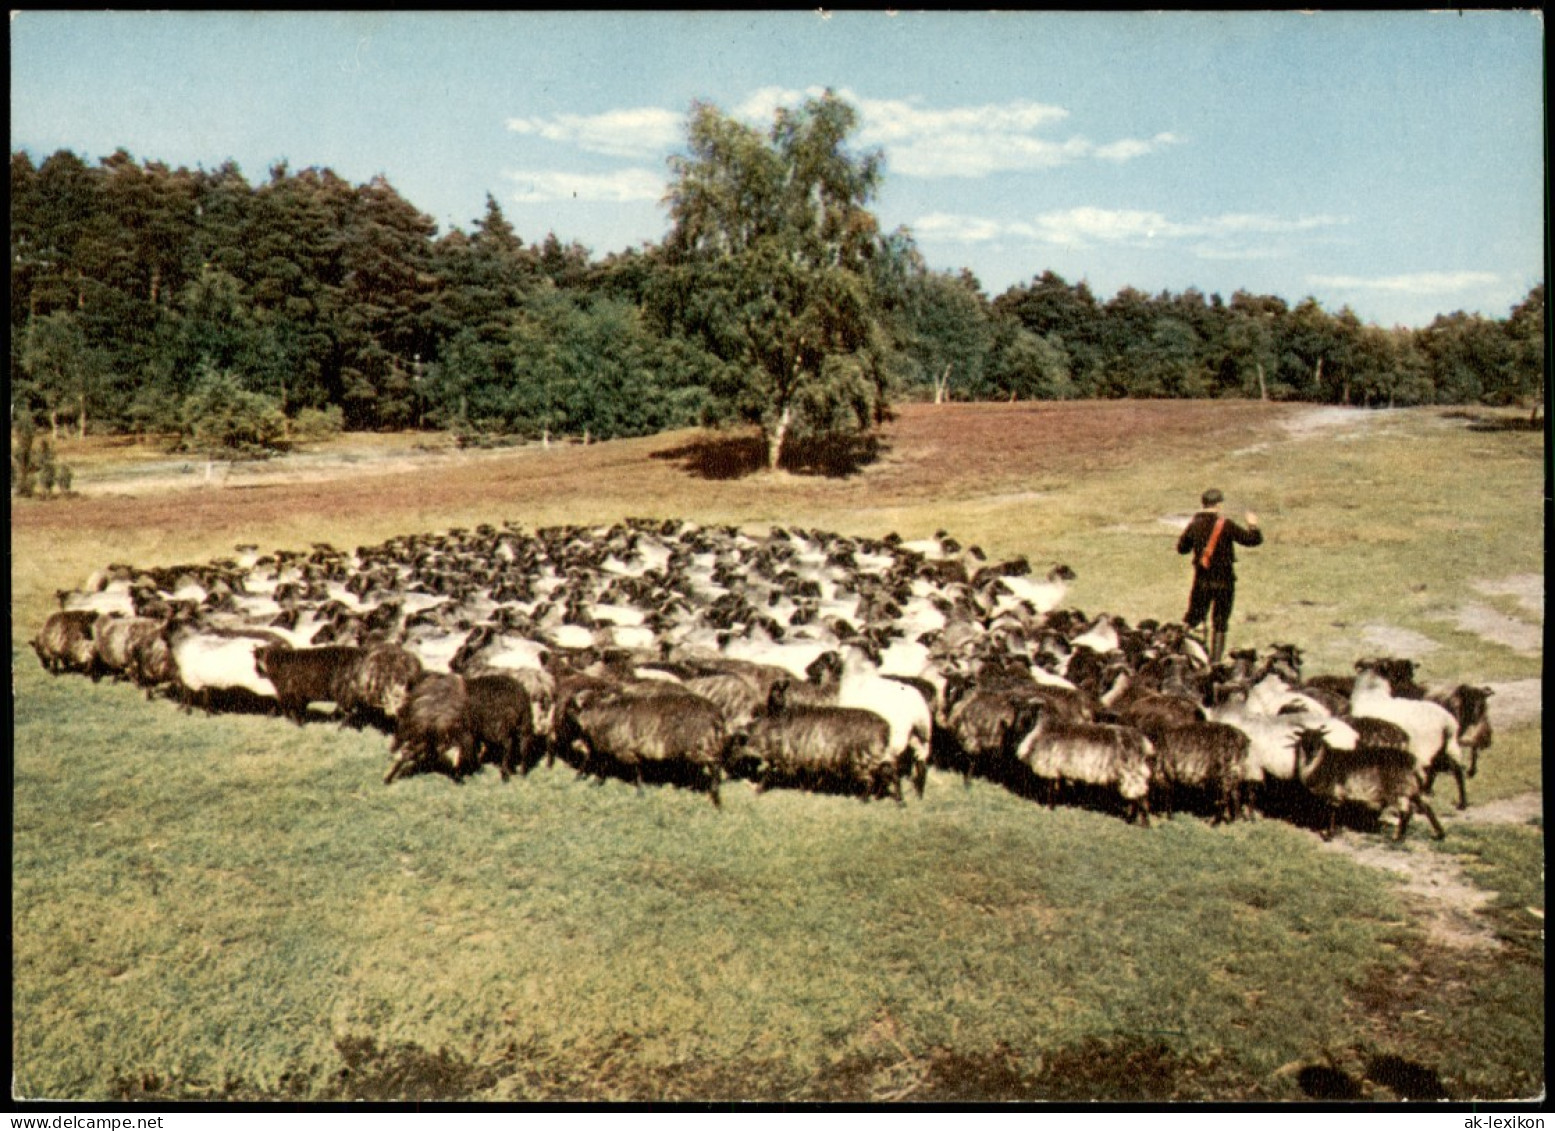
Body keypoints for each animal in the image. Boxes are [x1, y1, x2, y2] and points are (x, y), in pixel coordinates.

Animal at [1287, 724, 1443, 840]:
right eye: (1304, 739)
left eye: (1319, 739)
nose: (1312, 752)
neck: (1323, 761)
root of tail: (1414, 762)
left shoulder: (1334, 792)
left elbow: (1332, 811)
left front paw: (1329, 834)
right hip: (1411, 788)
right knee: (1425, 807)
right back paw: (1438, 834)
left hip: (1398, 789)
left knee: (1407, 811)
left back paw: (1396, 838)